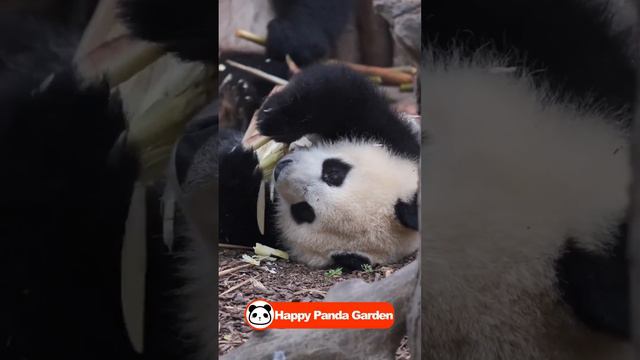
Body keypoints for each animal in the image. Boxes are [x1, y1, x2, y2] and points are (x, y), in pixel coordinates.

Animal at [220, 64, 420, 270]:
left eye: (303, 211)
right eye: (333, 173)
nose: (281, 170)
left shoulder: (267, 231)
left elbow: (234, 216)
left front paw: (239, 166)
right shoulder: (400, 143)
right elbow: (344, 93)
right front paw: (273, 120)